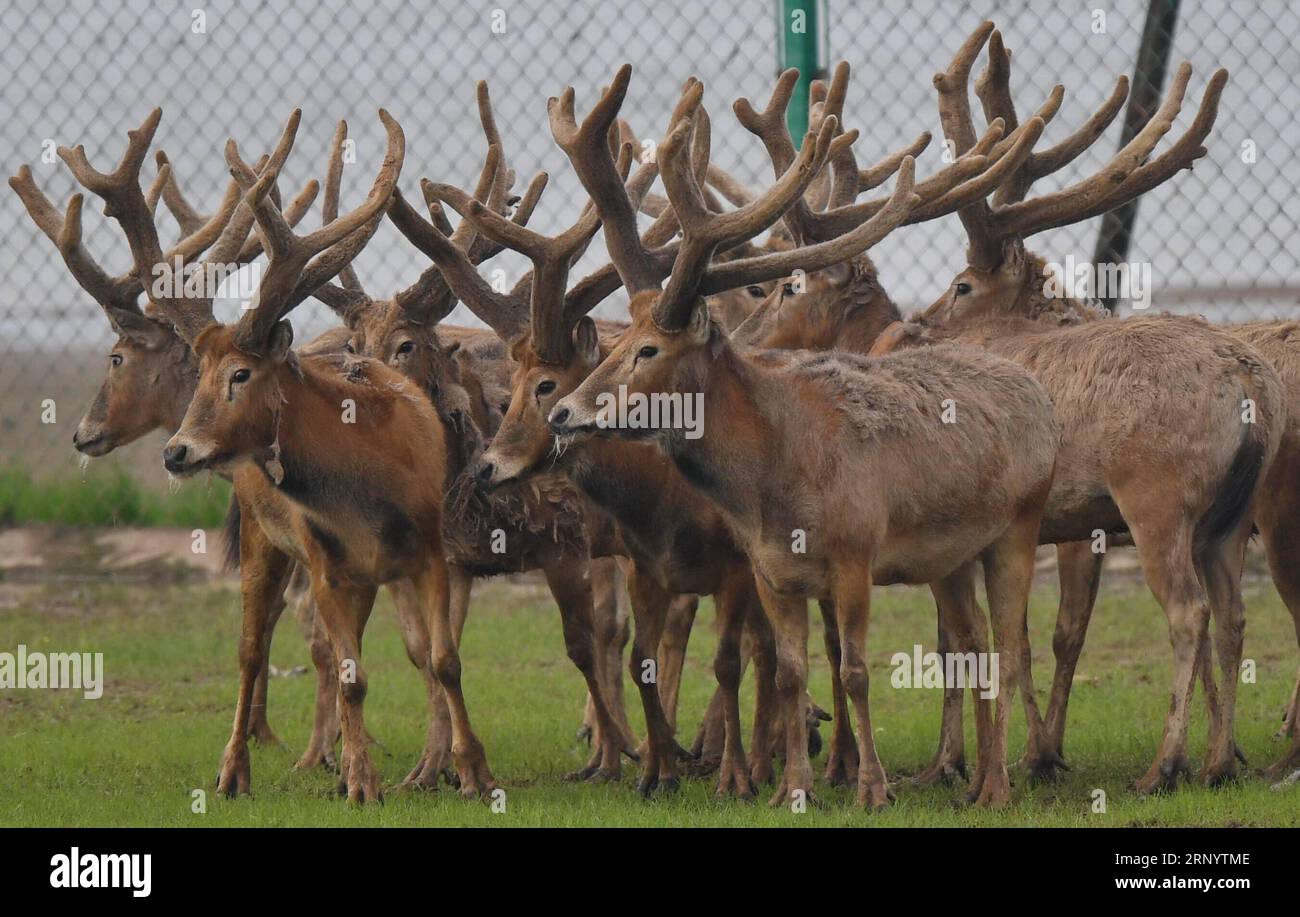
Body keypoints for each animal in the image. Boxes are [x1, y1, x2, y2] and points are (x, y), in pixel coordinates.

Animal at [533, 66, 1060, 806]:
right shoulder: (769, 571)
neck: (771, 488)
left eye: (648, 350)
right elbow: (786, 672)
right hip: (953, 555)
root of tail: (1037, 392)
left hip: (1020, 523)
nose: (564, 413)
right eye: (616, 342)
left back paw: (999, 788)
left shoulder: (856, 553)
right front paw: (791, 788)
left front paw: (871, 787)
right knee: (975, 643)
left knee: (1009, 649)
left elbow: (856, 670)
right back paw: (977, 779)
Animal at [863, 25, 1289, 790]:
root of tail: (1248, 384)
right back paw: (1217, 761)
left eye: (962, 284)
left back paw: (1164, 764)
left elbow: (1006, 639)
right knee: (1235, 615)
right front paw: (1030, 754)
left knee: (1189, 611)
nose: (916, 323)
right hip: (1232, 514)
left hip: (1158, 495)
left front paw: (1015, 757)